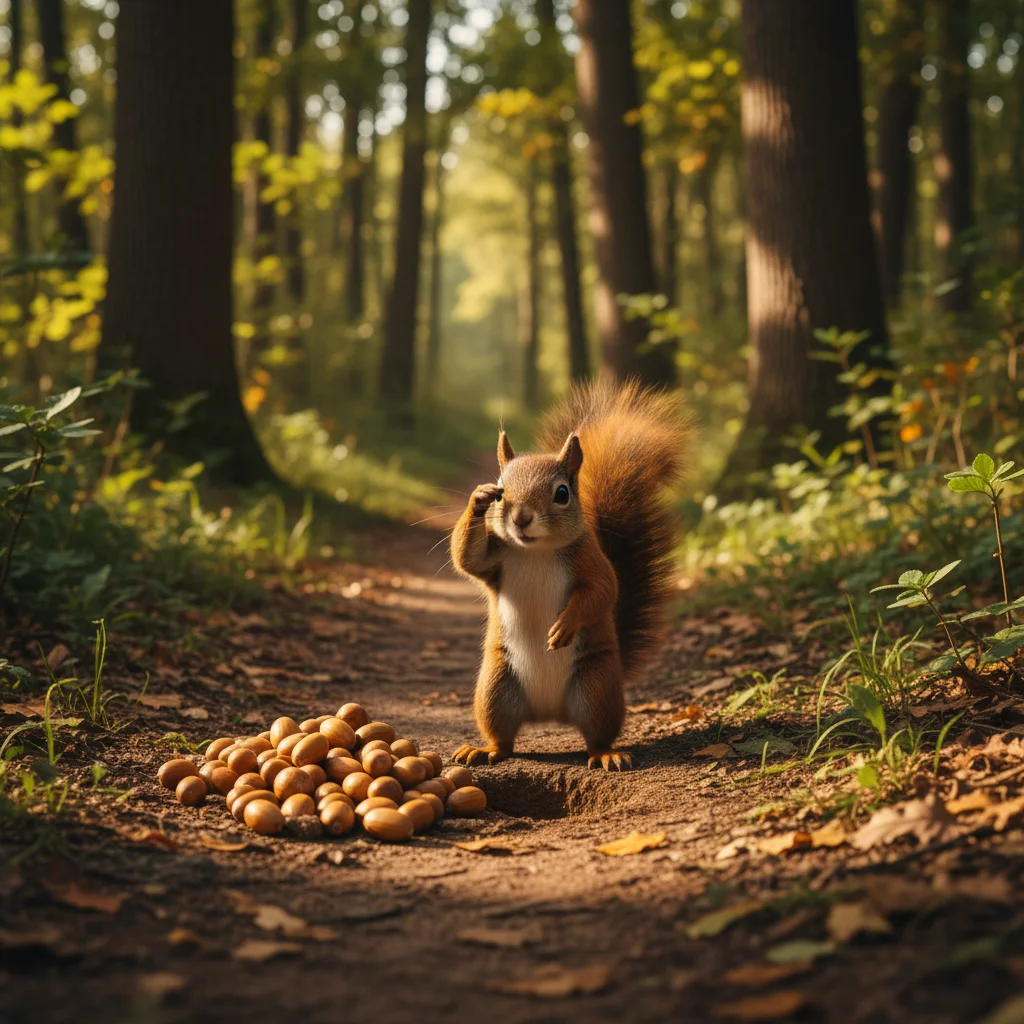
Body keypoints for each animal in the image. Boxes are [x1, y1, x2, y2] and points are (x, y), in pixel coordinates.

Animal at [449, 378, 688, 771]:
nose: (521, 518)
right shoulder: (494, 561)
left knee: (597, 735)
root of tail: (549, 713)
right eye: (500, 491)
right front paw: (476, 499)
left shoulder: (591, 560)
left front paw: (564, 625)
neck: (536, 551)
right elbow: (466, 559)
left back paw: (607, 754)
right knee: (503, 738)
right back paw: (485, 750)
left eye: (562, 493)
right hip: (496, 687)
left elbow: (605, 591)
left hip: (596, 687)